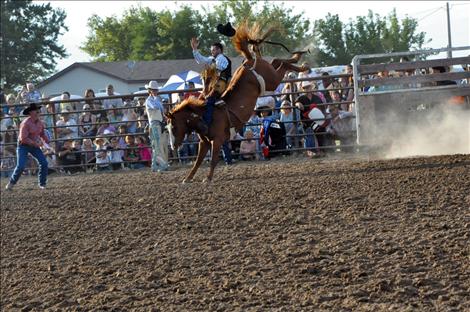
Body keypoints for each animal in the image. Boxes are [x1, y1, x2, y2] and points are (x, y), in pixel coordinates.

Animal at [165, 22, 308, 183]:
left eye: (174, 127)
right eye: (167, 128)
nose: (173, 146)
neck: (202, 115)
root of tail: (249, 62)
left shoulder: (217, 140)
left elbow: (213, 159)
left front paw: (208, 178)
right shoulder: (204, 142)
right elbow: (198, 161)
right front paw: (188, 178)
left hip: (272, 80)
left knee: (282, 64)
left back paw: (302, 64)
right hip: (269, 75)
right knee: (276, 61)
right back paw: (298, 57)